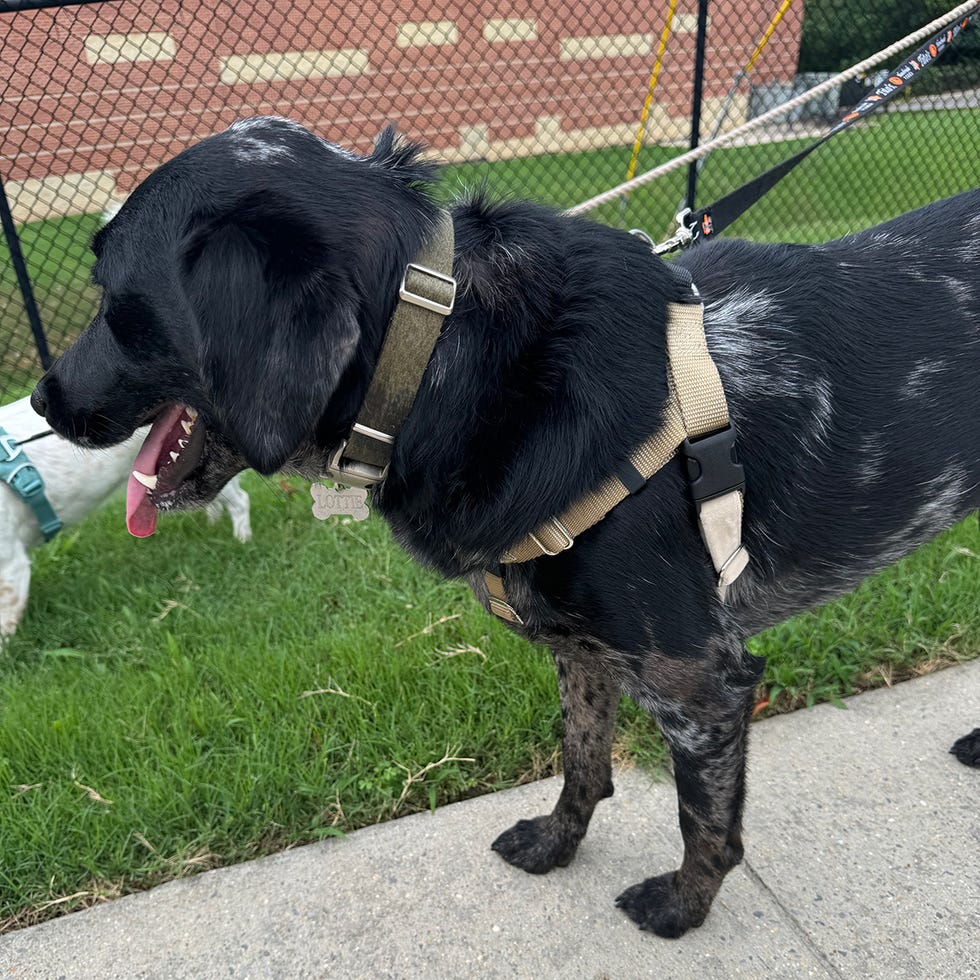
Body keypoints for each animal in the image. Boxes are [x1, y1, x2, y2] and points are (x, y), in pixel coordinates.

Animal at [30, 118, 980, 936]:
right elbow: (582, 760)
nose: (40, 399)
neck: (448, 352)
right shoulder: (584, 652)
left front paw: (683, 908)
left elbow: (703, 818)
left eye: (115, 298)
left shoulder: (700, 682)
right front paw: (557, 845)